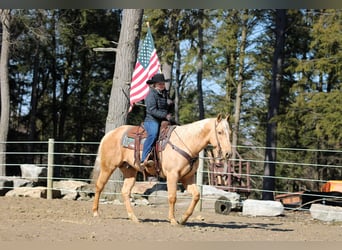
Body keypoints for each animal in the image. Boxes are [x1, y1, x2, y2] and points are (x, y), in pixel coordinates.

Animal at [91, 113, 232, 225]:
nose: (228, 153)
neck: (186, 142)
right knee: (99, 186)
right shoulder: (172, 175)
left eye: (230, 132)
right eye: (220, 132)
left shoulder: (187, 178)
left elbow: (196, 195)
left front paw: (183, 218)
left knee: (125, 191)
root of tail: (109, 134)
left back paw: (134, 218)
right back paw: (96, 212)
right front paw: (173, 220)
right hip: (108, 167)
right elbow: (172, 197)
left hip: (129, 171)